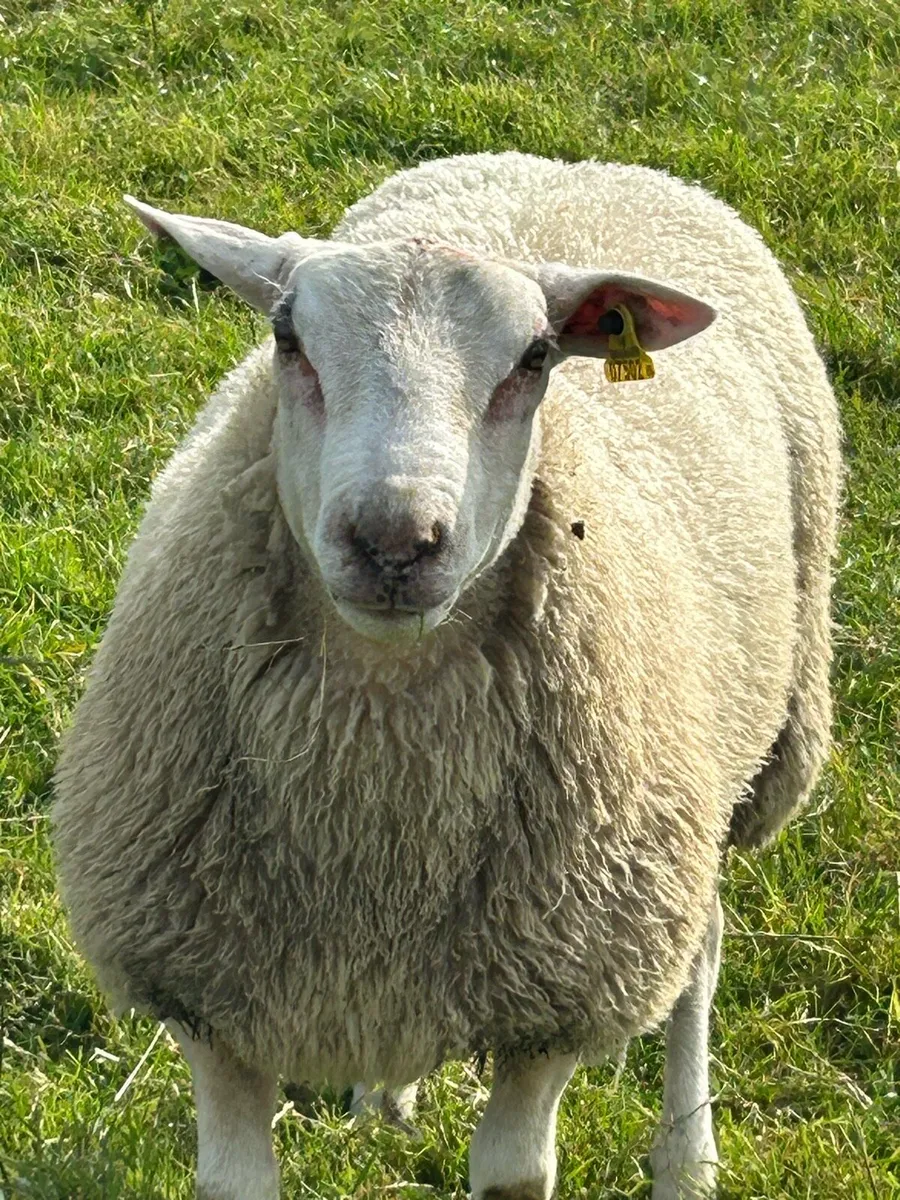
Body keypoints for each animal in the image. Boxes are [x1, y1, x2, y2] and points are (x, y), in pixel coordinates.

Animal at [52, 151, 841, 1200]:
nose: (393, 540)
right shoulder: (204, 997)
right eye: (286, 335)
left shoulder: (561, 994)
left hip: (713, 790)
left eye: (536, 358)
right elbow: (233, 1179)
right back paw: (385, 1100)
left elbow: (513, 1176)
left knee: (702, 947)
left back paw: (687, 1157)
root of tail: (570, 162)